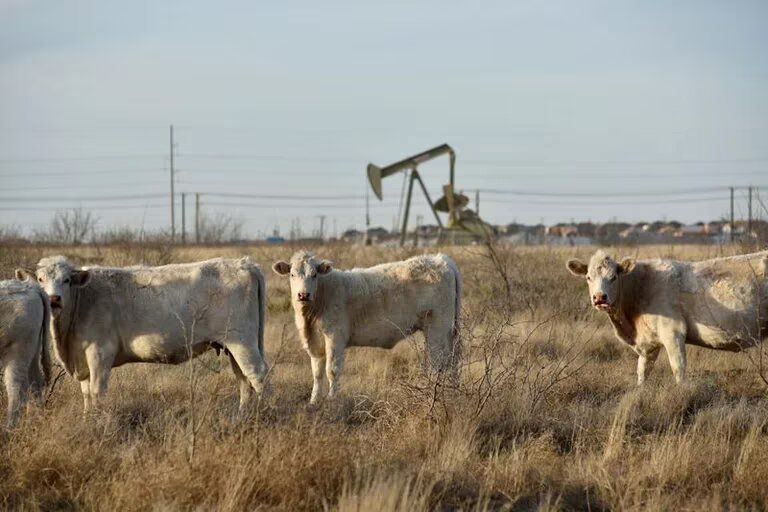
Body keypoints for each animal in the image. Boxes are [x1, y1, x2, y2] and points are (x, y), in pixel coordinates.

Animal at [0, 278, 50, 426]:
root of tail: (33, 288)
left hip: (16, 352)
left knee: (16, 389)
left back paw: (10, 427)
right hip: (33, 349)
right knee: (35, 382)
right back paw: (36, 420)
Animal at [15, 256, 268, 412]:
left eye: (66, 280)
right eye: (40, 279)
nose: (53, 299)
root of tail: (245, 264)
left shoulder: (100, 353)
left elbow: (97, 393)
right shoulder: (82, 360)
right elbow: (86, 394)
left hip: (241, 340)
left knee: (257, 375)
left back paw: (269, 414)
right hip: (233, 344)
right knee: (243, 379)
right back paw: (243, 416)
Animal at [272, 252, 460, 404]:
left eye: (314, 274)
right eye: (292, 274)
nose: (303, 295)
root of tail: (441, 259)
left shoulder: (335, 337)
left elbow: (332, 370)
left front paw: (332, 400)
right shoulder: (315, 342)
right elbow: (317, 373)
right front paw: (313, 401)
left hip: (438, 329)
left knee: (439, 364)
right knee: (452, 362)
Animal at [568, 248, 768, 384]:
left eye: (614, 277)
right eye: (588, 277)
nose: (599, 298)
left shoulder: (673, 332)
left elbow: (678, 369)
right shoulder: (649, 343)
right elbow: (642, 371)